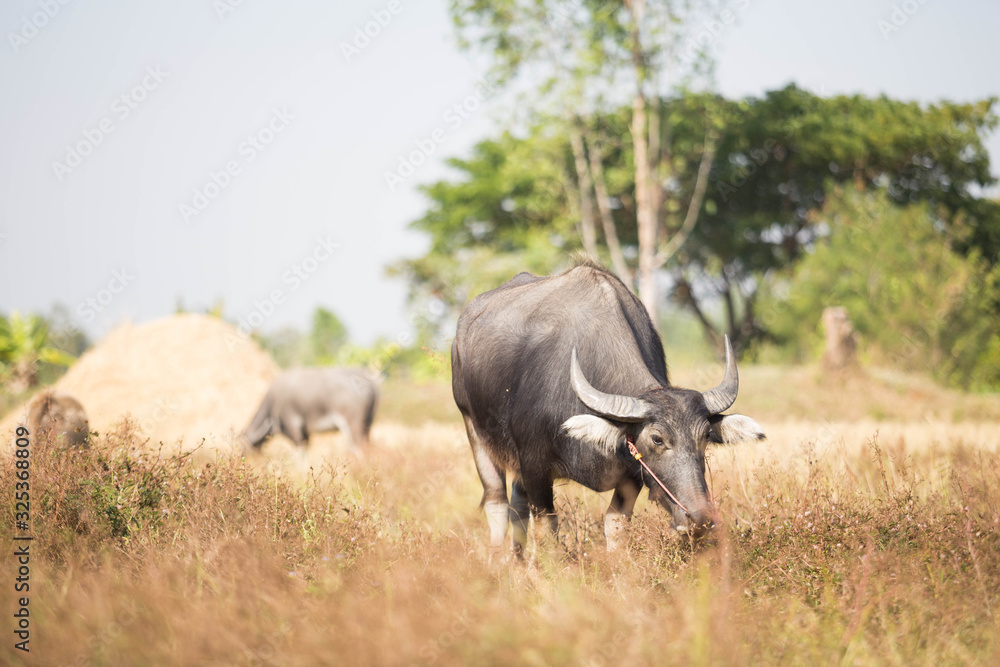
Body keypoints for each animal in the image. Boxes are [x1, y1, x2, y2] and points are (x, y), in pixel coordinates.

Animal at [452, 263, 765, 554]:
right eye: (657, 439)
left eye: (705, 437)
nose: (699, 518)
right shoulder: (534, 464)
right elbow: (547, 529)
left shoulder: (632, 475)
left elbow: (615, 526)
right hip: (474, 428)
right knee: (497, 503)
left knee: (517, 506)